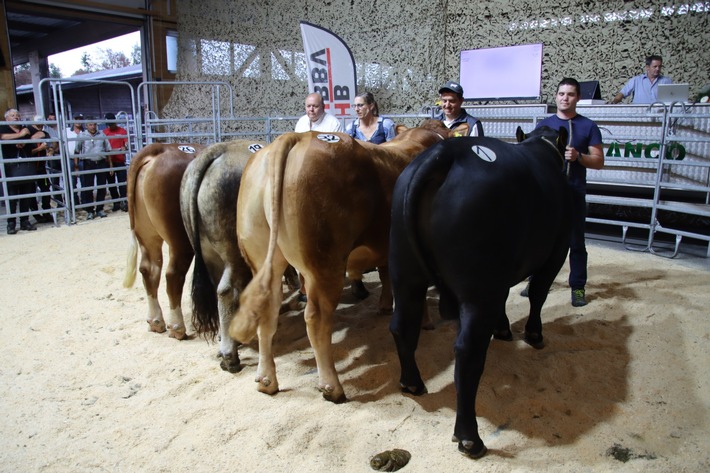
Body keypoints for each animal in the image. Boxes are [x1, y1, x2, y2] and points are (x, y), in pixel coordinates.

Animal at [123, 142, 203, 338]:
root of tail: (161, 148)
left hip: (147, 235)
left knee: (149, 270)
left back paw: (156, 321)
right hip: (180, 239)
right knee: (173, 275)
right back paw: (177, 327)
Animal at [228, 119, 462, 402]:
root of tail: (296, 138)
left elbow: (386, 274)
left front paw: (386, 306)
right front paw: (426, 322)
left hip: (263, 258)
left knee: (267, 311)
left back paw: (266, 380)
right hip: (325, 265)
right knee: (316, 320)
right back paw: (332, 387)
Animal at [386, 125, 576, 458]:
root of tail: (445, 153)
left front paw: (503, 329)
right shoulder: (557, 250)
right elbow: (538, 293)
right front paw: (534, 335)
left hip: (405, 271)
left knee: (402, 327)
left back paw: (412, 383)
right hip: (478, 287)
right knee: (468, 351)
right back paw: (470, 437)